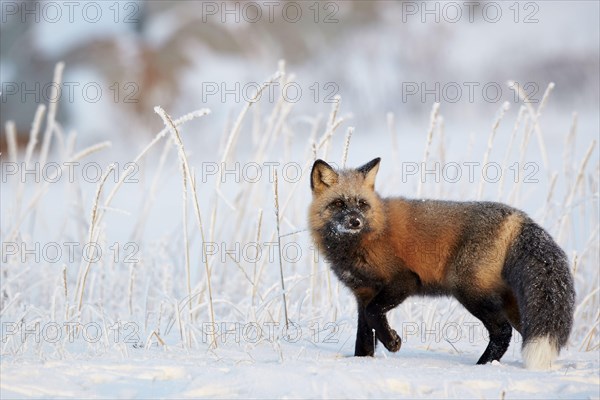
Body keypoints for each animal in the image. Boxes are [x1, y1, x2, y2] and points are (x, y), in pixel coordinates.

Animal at [310, 158, 576, 370]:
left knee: (502, 332)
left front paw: (393, 342)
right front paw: (362, 364)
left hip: (469, 290)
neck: (364, 239)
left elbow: (375, 313)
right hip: (511, 305)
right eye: (339, 204)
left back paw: (482, 367)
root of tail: (518, 216)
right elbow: (365, 338)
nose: (355, 221)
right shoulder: (363, 294)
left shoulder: (404, 280)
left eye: (362, 204)